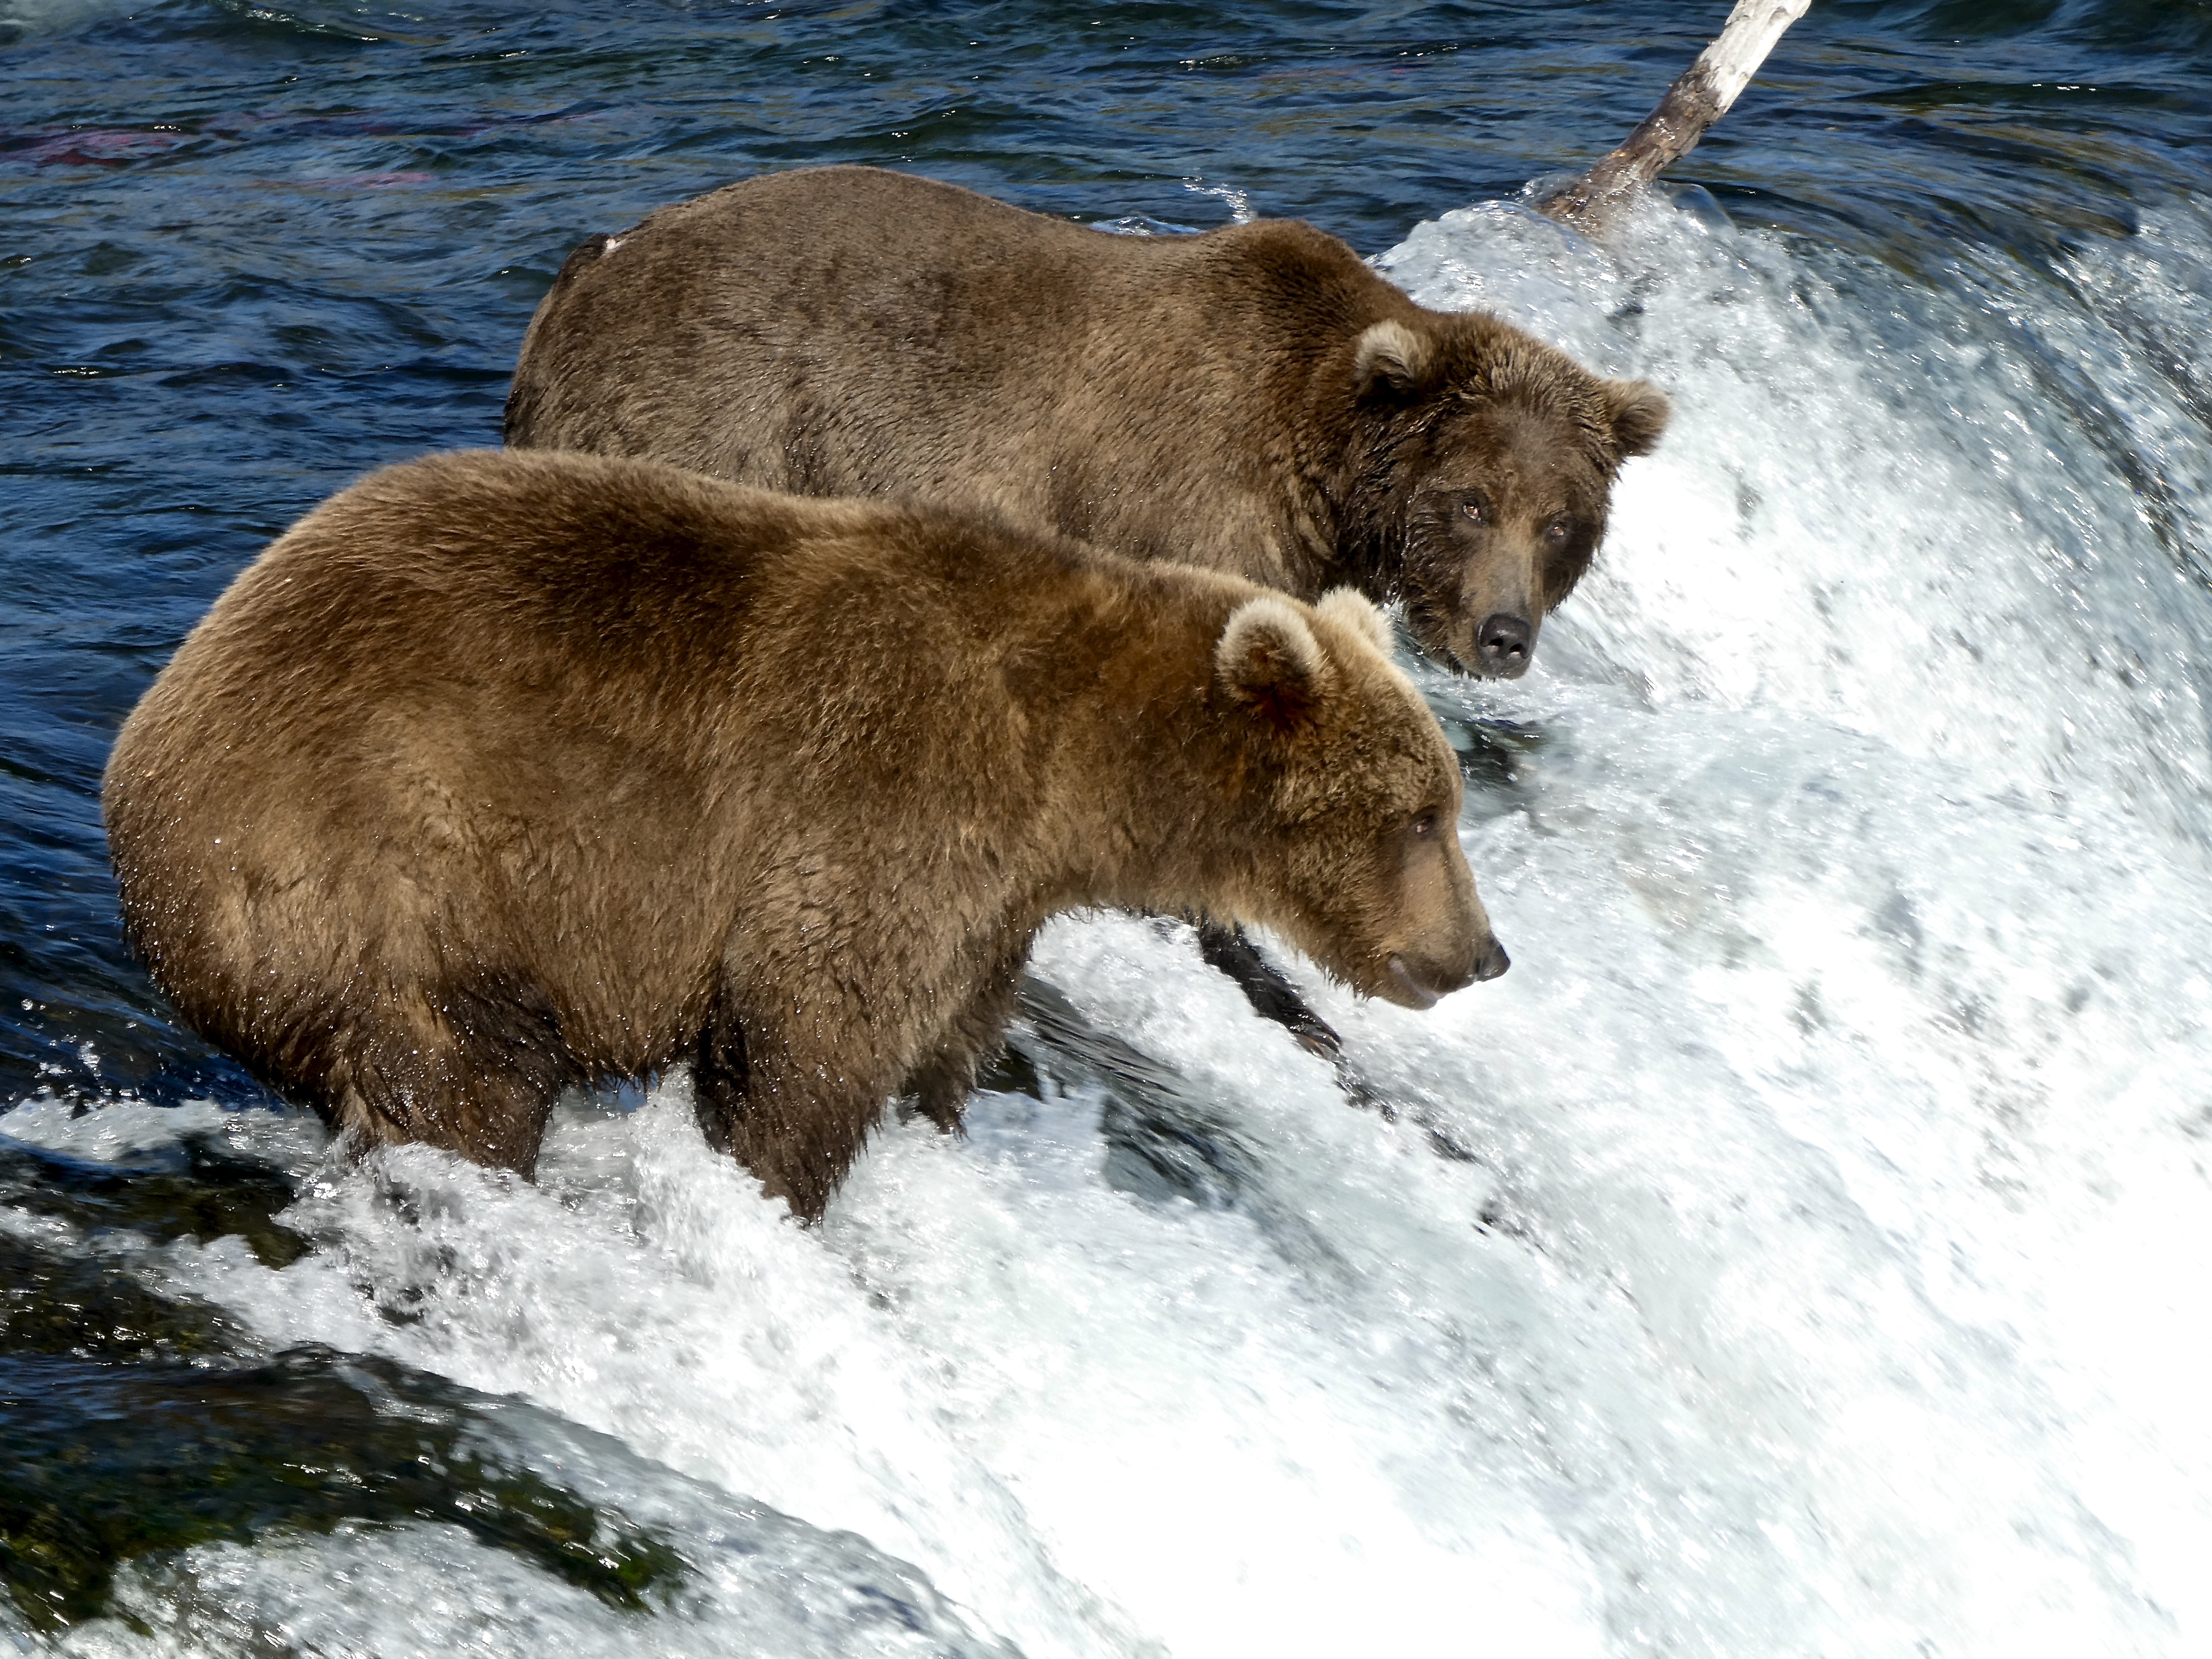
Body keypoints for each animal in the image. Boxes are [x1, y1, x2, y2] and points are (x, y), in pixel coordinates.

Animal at [108, 449, 1522, 1230]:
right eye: (1418, 816)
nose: (1483, 954)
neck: (1067, 780)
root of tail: (140, 751)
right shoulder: (878, 805)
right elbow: (808, 1042)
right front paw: (780, 1190)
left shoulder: (992, 911)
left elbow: (944, 1043)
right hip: (384, 859)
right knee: (462, 1071)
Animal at [506, 166, 1672, 686]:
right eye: (1469, 502)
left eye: (1562, 523)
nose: (1505, 635)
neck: (1324, 465)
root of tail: (583, 269)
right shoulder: (1194, 499)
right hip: (702, 406)